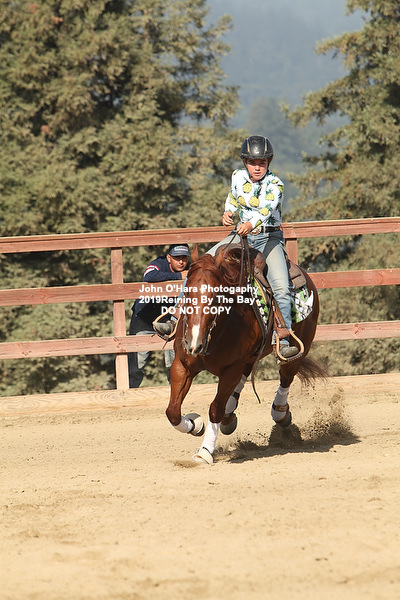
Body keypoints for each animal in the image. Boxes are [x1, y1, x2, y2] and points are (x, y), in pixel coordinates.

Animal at [165, 244, 323, 464]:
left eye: (217, 296)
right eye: (187, 292)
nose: (193, 343)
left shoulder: (231, 368)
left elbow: (215, 408)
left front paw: (205, 451)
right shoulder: (182, 365)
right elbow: (172, 411)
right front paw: (195, 425)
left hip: (297, 351)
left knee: (285, 378)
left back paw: (280, 413)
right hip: (250, 357)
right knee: (245, 377)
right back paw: (229, 415)